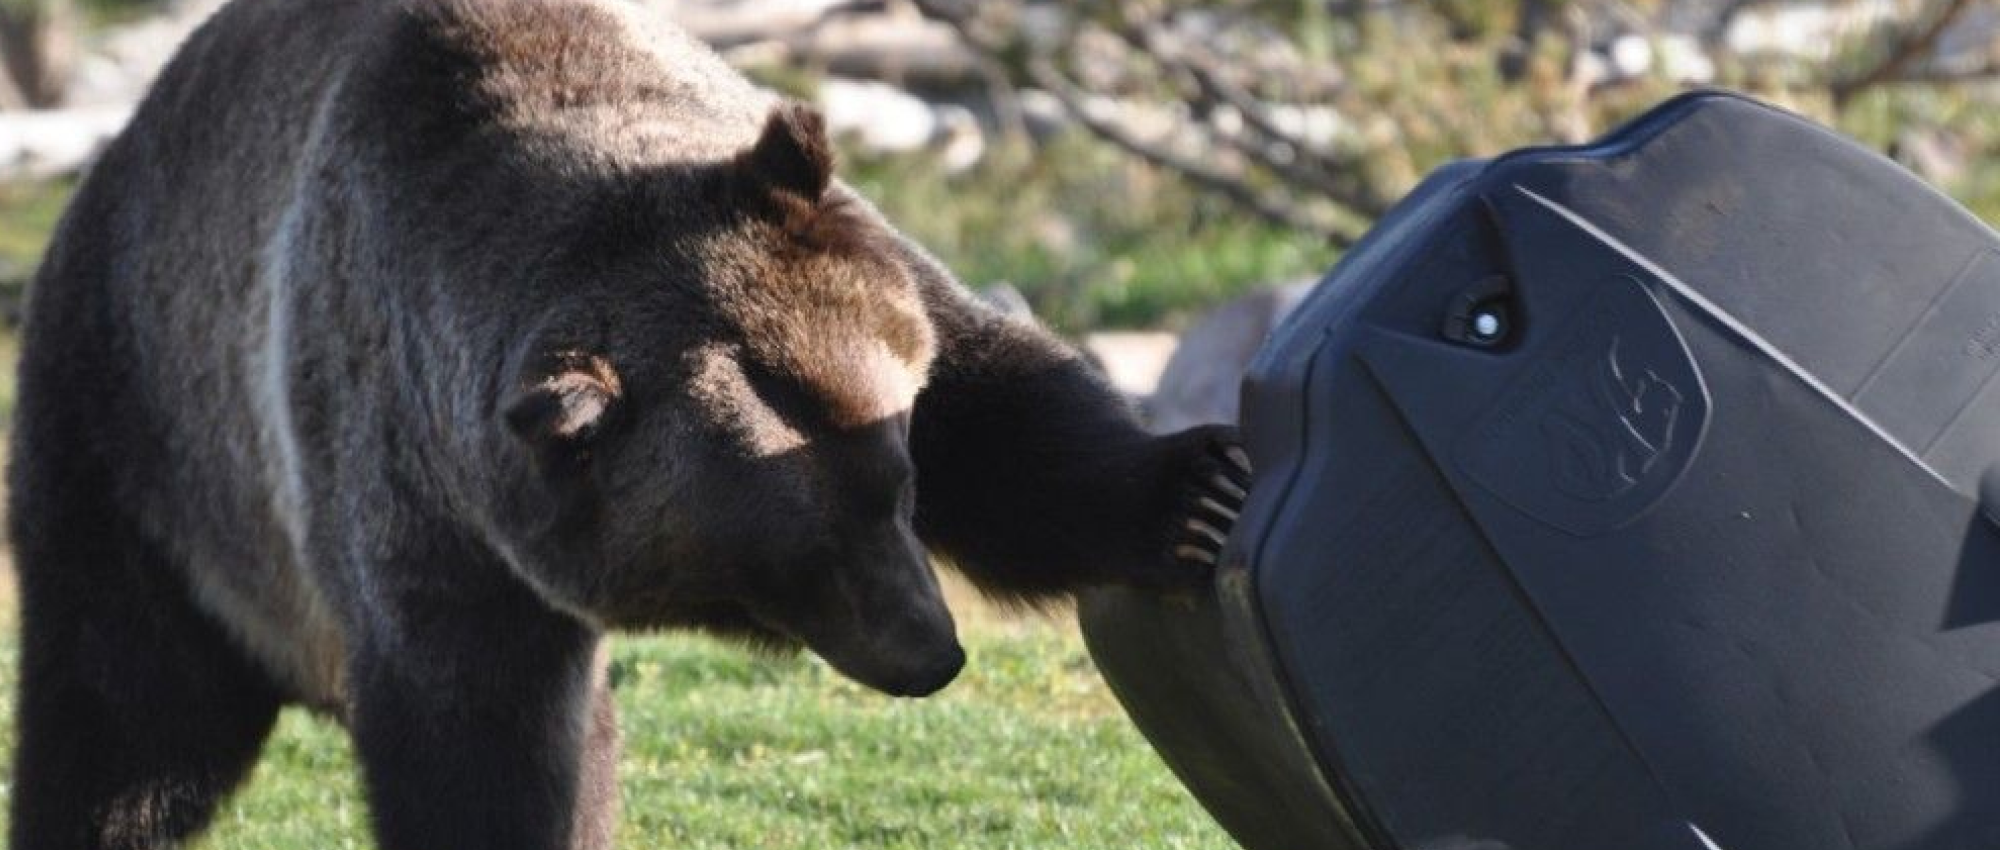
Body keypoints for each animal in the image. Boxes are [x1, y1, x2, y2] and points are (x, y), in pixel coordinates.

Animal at [4, 1, 1250, 848]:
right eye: (785, 552)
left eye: (894, 479)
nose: (929, 651)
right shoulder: (422, 491)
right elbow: (481, 736)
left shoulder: (853, 270)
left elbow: (1001, 409)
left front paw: (1194, 496)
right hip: (141, 442)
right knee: (121, 715)